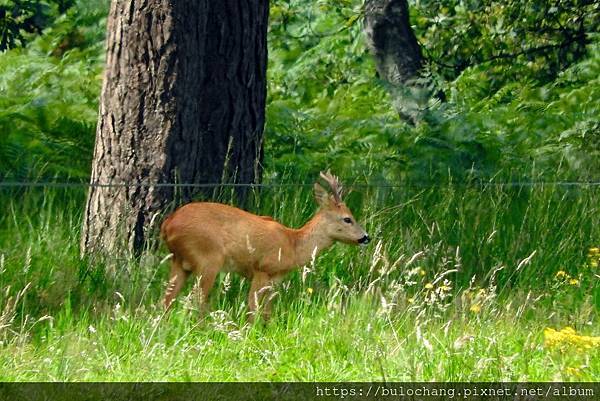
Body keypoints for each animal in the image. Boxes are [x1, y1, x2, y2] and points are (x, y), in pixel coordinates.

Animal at [159, 171, 368, 318]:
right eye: (347, 219)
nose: (366, 237)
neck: (293, 244)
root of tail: (168, 224)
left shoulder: (275, 278)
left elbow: (267, 311)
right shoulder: (262, 268)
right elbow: (253, 308)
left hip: (179, 261)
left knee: (166, 299)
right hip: (208, 258)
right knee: (197, 299)